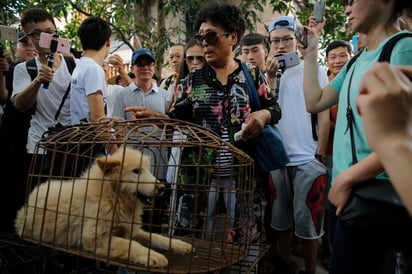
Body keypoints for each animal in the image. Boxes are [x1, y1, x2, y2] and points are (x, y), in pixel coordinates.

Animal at [15, 148, 193, 268]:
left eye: (148, 170)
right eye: (136, 171)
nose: (162, 187)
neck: (113, 198)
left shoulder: (131, 230)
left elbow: (155, 236)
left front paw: (178, 244)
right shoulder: (94, 237)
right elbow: (129, 244)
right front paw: (152, 256)